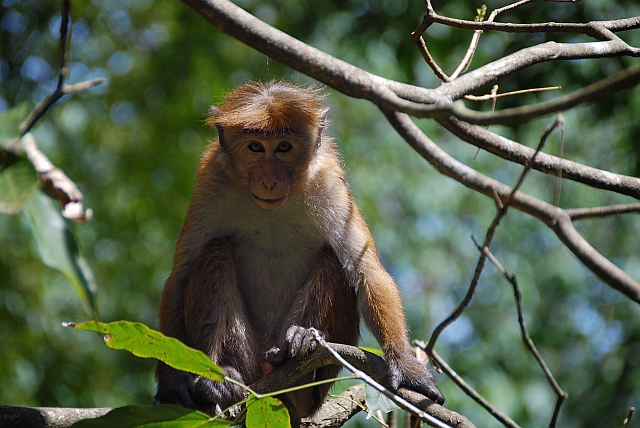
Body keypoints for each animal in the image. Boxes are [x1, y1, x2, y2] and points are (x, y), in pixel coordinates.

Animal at [155, 80, 444, 418]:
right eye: (256, 147)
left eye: (284, 147)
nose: (269, 180)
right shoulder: (211, 181)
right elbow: (180, 277)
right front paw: (172, 385)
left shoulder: (328, 181)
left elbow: (365, 270)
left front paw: (407, 368)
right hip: (246, 357)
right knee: (216, 250)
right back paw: (218, 384)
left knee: (332, 260)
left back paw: (298, 347)